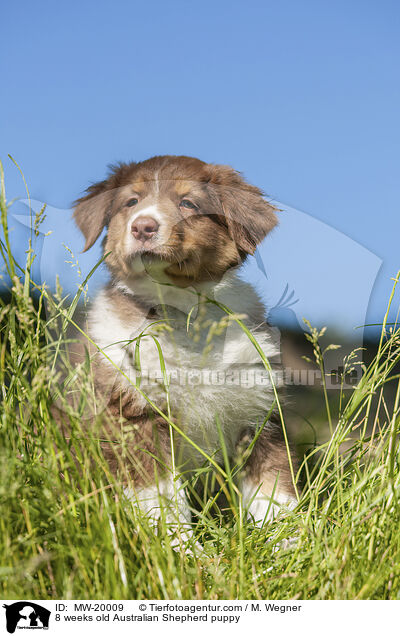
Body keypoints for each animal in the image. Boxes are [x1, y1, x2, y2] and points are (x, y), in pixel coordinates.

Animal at [72, 157, 296, 536]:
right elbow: (163, 500)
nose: (142, 226)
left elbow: (276, 490)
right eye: (131, 202)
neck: (188, 314)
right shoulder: (135, 417)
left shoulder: (260, 413)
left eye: (188, 204)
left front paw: (292, 543)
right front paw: (181, 548)